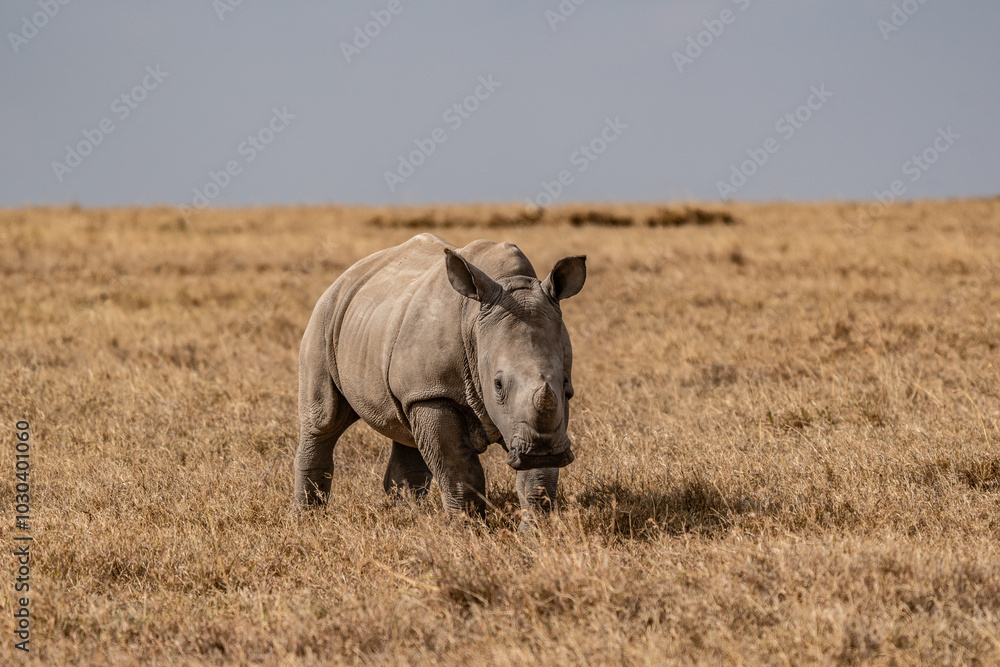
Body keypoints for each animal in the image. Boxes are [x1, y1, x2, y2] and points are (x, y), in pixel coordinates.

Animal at [293, 233, 586, 524]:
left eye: (565, 384)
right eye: (498, 384)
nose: (542, 453)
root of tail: (346, 275)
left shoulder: (548, 411)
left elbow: (537, 479)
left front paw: (536, 530)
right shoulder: (434, 392)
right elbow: (457, 469)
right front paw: (469, 528)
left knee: (406, 429)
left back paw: (408, 515)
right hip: (326, 316)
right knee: (323, 423)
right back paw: (306, 519)